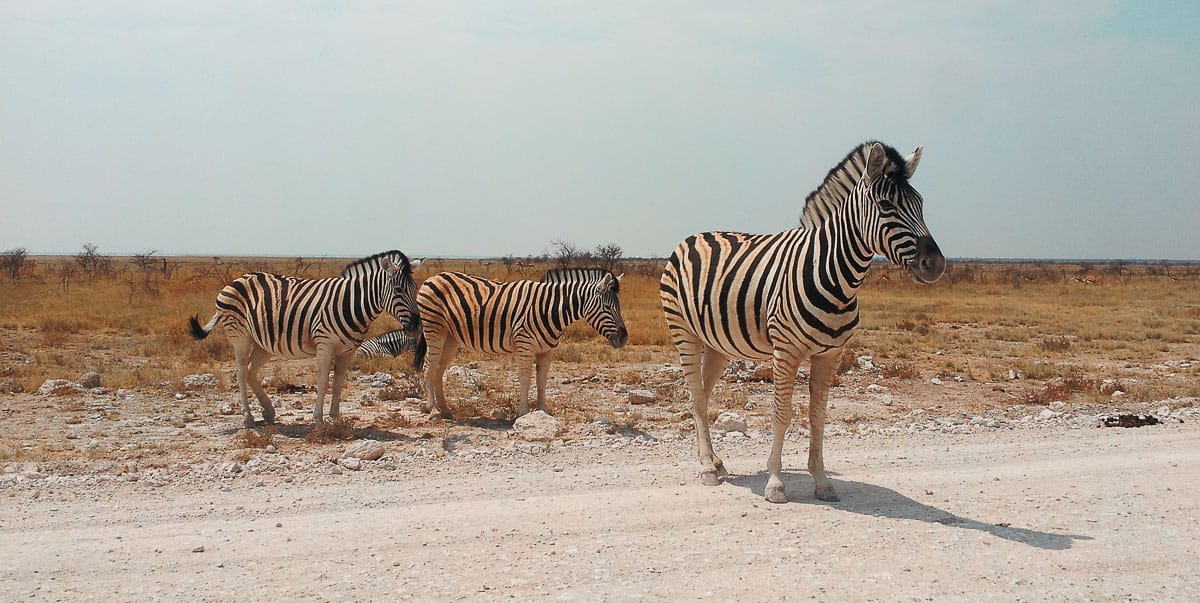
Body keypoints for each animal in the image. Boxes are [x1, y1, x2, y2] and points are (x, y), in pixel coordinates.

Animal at [186, 249, 422, 427]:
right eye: (398, 290)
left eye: (415, 288)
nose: (417, 326)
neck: (351, 304)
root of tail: (235, 280)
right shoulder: (325, 345)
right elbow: (323, 381)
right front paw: (319, 420)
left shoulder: (348, 350)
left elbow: (338, 383)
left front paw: (336, 418)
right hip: (240, 336)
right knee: (242, 372)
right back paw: (248, 418)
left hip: (264, 343)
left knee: (252, 371)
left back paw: (268, 411)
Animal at [415, 269, 628, 420]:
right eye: (607, 307)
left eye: (619, 306)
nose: (624, 338)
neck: (550, 310)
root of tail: (434, 276)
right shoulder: (525, 345)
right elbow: (525, 379)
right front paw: (524, 413)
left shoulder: (547, 351)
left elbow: (542, 382)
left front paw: (543, 412)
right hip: (434, 328)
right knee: (429, 367)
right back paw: (432, 409)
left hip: (451, 336)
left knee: (439, 370)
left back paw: (445, 410)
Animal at [657, 142, 945, 504]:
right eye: (886, 205)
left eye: (920, 204)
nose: (935, 264)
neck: (835, 275)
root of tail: (692, 237)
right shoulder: (786, 350)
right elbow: (781, 412)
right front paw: (775, 483)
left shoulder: (832, 354)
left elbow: (818, 416)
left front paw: (821, 481)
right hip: (683, 331)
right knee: (696, 395)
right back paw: (708, 468)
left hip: (717, 343)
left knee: (704, 395)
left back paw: (715, 461)